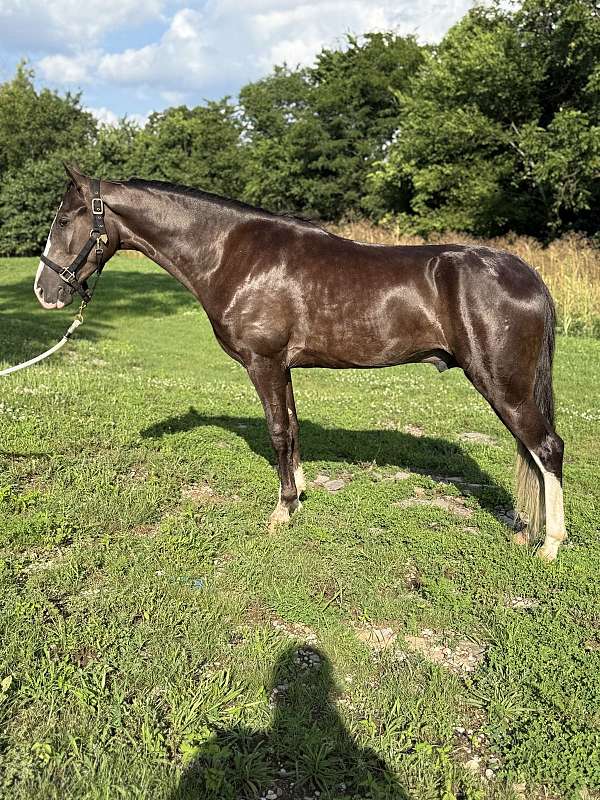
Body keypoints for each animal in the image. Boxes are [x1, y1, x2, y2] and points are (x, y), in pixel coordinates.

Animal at [34, 164, 566, 560]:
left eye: (64, 220)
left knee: (547, 448)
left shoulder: (263, 363)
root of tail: (527, 275)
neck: (232, 253)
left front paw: (282, 510)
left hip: (504, 385)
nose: (44, 290)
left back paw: (550, 546)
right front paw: (299, 491)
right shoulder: (283, 368)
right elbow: (290, 426)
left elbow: (277, 430)